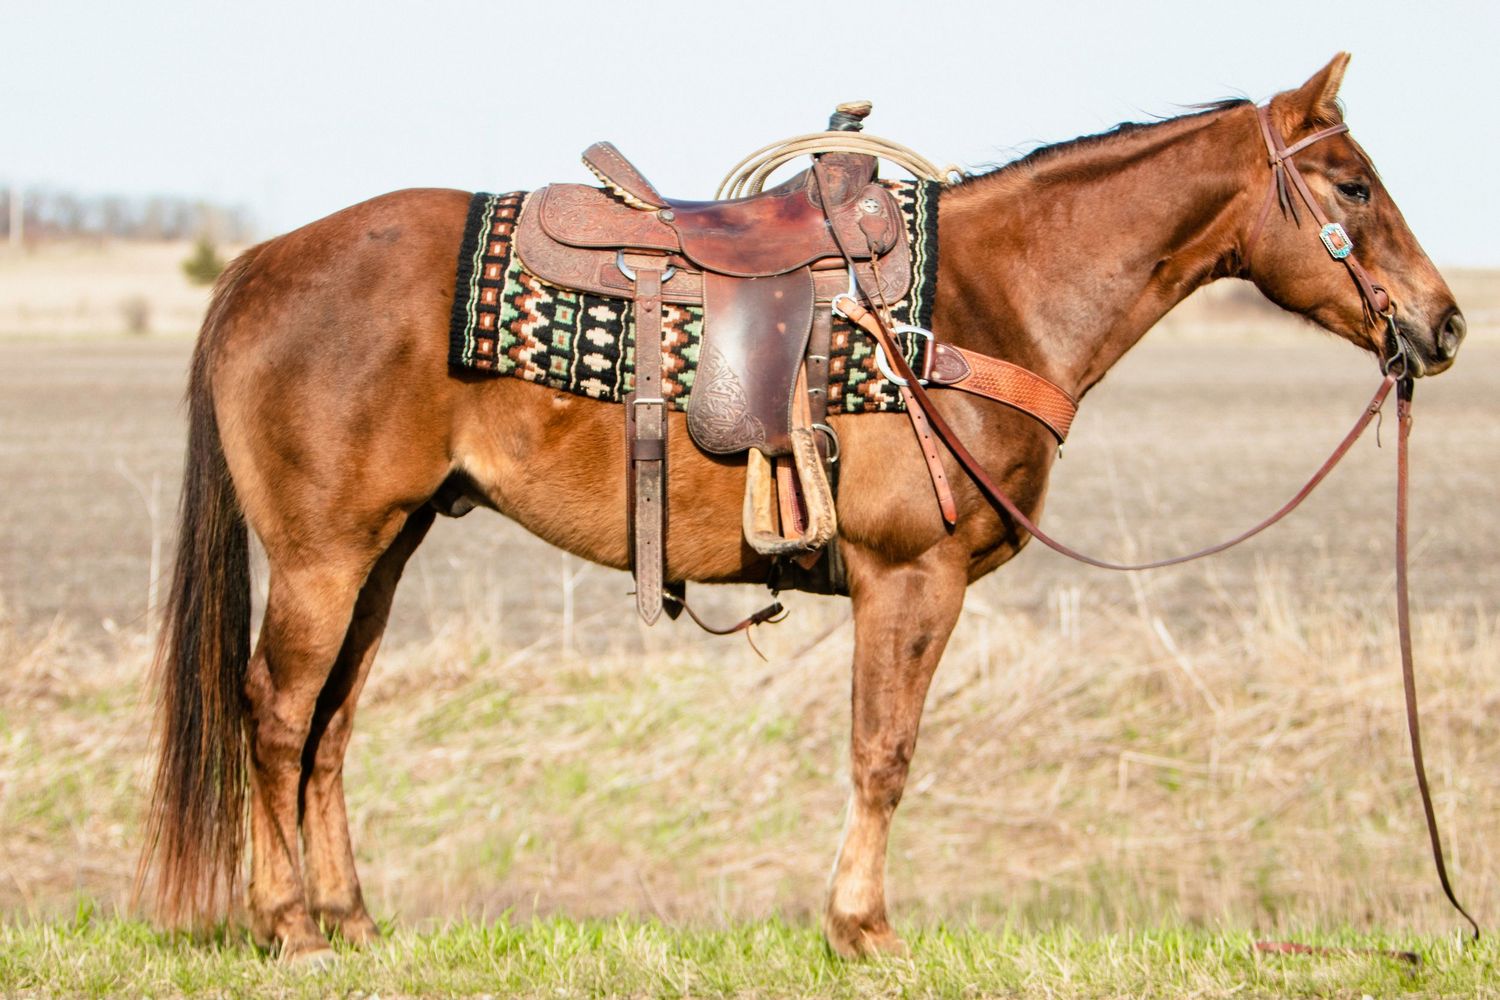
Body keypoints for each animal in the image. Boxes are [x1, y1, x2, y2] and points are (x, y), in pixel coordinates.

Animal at [136, 53, 1464, 961]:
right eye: (1352, 184)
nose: (1445, 323)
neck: (981, 302)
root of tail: (261, 265)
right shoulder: (910, 576)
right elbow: (885, 750)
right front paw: (862, 926)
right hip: (323, 555)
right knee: (275, 712)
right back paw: (288, 922)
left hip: (385, 548)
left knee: (330, 725)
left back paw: (351, 918)